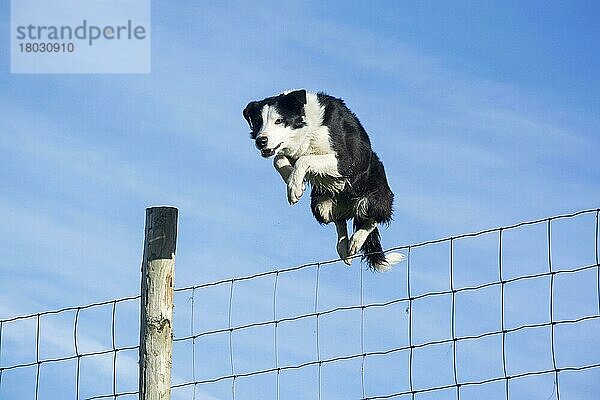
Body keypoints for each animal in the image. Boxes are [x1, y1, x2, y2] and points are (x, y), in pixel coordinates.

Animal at [241, 90, 406, 272]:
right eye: (258, 122)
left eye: (279, 120)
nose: (261, 141)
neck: (308, 126)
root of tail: (350, 208)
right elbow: (278, 159)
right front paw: (293, 181)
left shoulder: (345, 161)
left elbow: (303, 159)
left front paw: (294, 188)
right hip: (320, 206)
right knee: (339, 220)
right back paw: (344, 248)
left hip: (372, 198)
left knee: (374, 218)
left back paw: (356, 240)